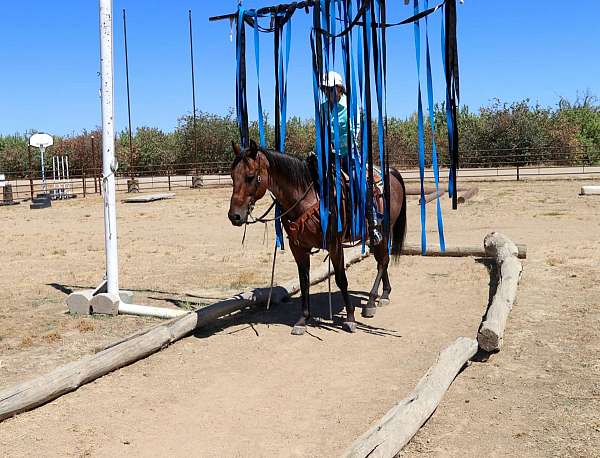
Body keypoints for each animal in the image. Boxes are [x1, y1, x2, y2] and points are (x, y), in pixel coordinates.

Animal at [227, 139, 406, 332]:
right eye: (232, 176)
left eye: (250, 176)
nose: (234, 216)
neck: (309, 198)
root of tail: (391, 172)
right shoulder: (298, 247)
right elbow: (304, 281)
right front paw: (303, 319)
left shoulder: (335, 245)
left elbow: (341, 279)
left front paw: (350, 318)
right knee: (382, 260)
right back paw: (385, 293)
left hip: (385, 229)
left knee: (383, 261)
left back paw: (371, 302)